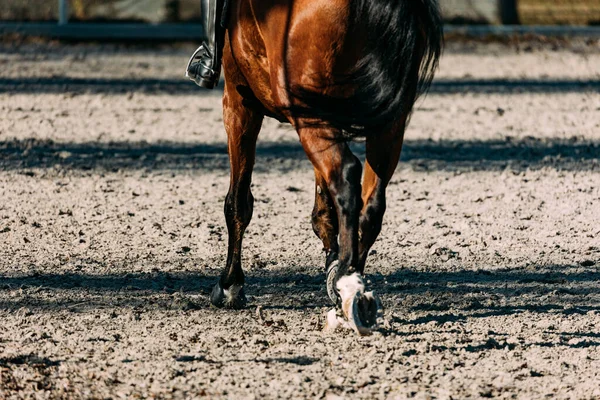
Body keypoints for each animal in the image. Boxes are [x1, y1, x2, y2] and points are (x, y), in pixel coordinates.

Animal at [209, 0, 442, 332]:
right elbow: (324, 209)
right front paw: (332, 262)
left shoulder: (239, 100)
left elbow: (238, 203)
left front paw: (230, 286)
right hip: (387, 122)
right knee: (371, 204)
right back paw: (351, 280)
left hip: (308, 113)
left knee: (345, 175)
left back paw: (348, 284)